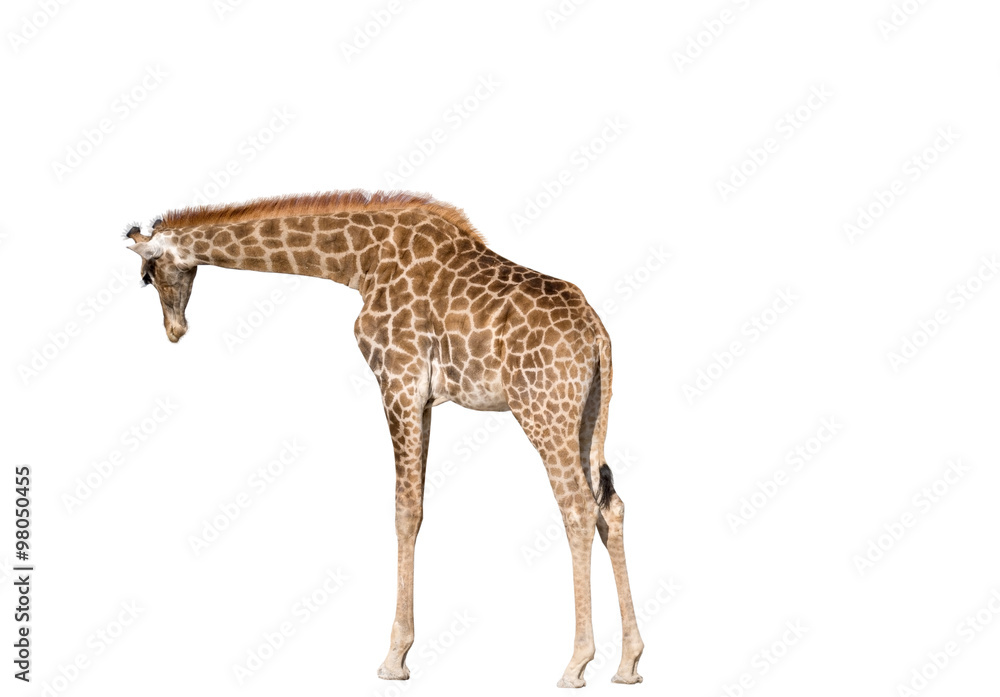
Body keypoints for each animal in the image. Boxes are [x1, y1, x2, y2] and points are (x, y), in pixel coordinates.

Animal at [124, 190, 644, 687]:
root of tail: (598, 334)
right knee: (611, 506)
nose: (175, 330)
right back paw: (628, 663)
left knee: (577, 508)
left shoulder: (398, 379)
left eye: (147, 276)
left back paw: (576, 664)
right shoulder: (424, 398)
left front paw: (395, 658)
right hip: (588, 413)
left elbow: (404, 511)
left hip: (543, 410)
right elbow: (417, 506)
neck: (360, 261)